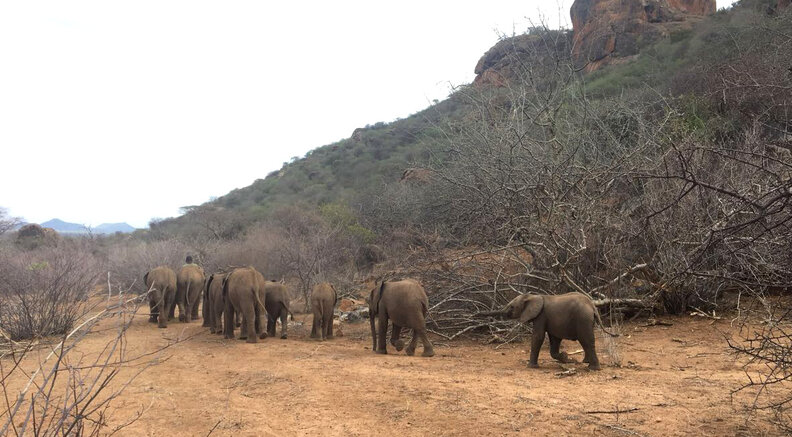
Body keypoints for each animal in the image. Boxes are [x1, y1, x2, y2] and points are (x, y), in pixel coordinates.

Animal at [480, 292, 617, 370]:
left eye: (512, 307)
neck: (532, 296)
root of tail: (592, 305)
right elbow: (554, 339)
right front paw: (567, 358)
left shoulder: (541, 315)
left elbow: (538, 337)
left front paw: (531, 367)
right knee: (585, 341)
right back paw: (585, 362)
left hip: (583, 318)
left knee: (586, 340)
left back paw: (593, 369)